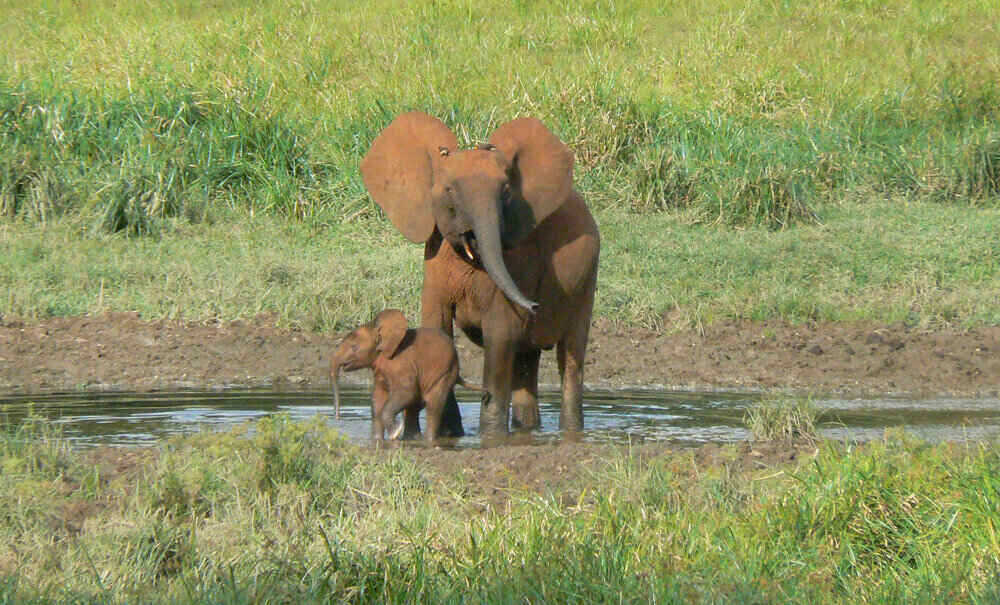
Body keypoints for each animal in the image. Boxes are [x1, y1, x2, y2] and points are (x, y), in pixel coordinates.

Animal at [332, 310, 480, 442]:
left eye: (354, 347)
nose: (338, 418)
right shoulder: (380, 372)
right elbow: (377, 399)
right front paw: (377, 441)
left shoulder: (401, 365)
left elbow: (406, 392)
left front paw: (394, 434)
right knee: (414, 408)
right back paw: (412, 439)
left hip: (445, 372)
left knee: (433, 405)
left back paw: (427, 440)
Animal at [368, 111, 600, 436]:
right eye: (449, 190)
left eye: (505, 192)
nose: (535, 305)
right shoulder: (434, 259)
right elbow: (437, 327)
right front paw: (451, 434)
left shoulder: (518, 261)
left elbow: (501, 334)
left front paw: (489, 435)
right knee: (525, 361)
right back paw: (527, 430)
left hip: (586, 280)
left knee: (570, 357)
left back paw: (569, 430)